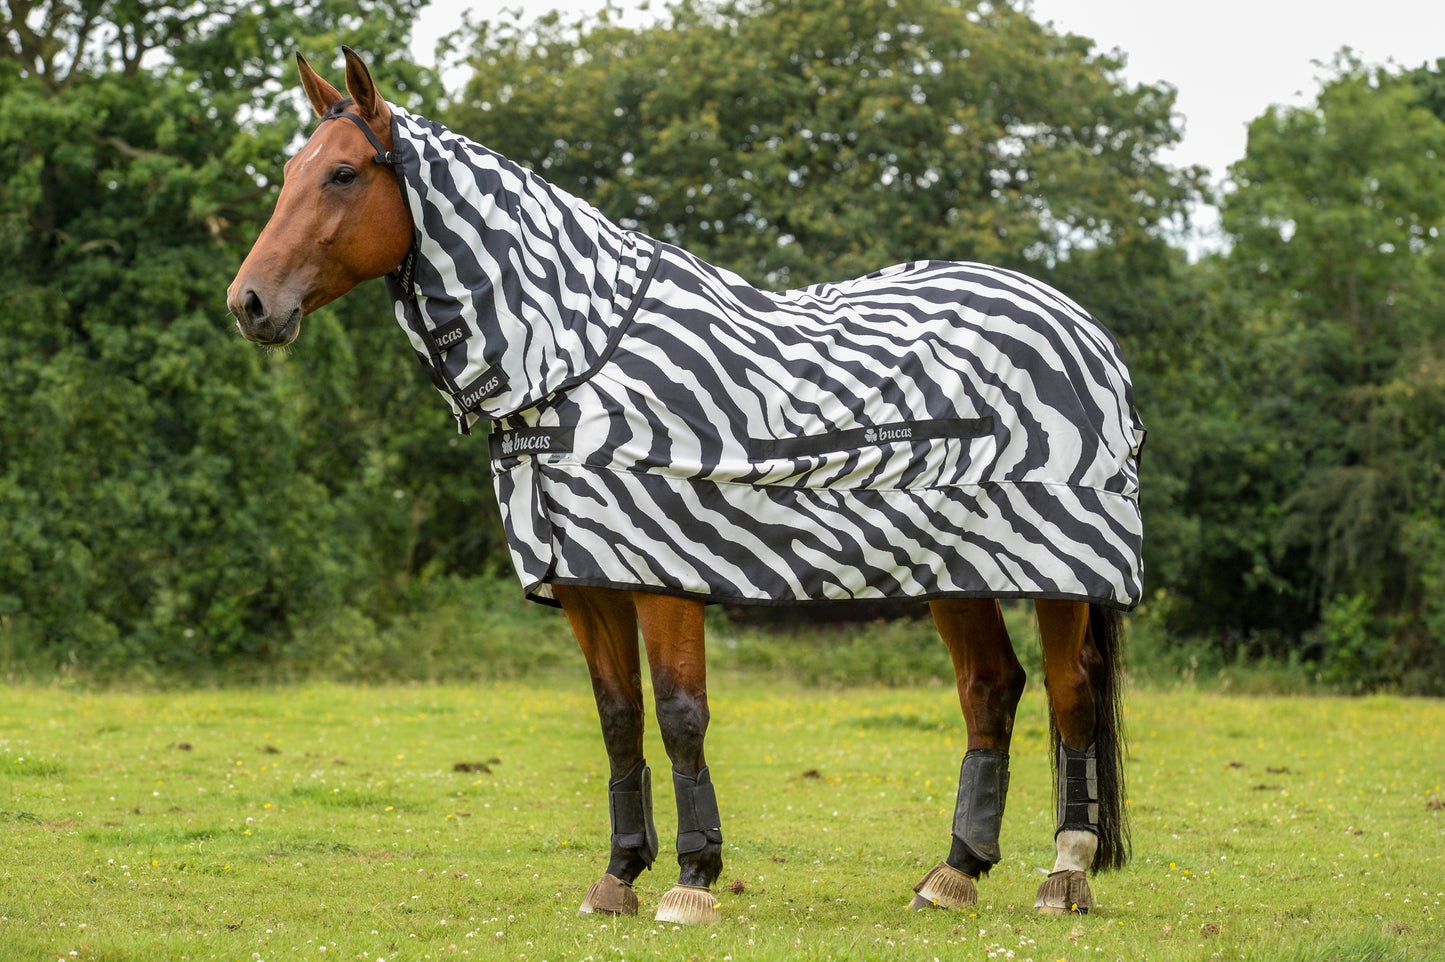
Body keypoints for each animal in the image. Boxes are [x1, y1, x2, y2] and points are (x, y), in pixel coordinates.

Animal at [227, 47, 1142, 923]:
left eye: (345, 173)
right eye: (291, 170)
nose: (249, 303)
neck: (579, 356)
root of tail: (1080, 324)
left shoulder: (664, 569)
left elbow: (679, 715)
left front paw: (693, 878)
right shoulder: (587, 579)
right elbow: (619, 718)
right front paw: (617, 875)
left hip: (1060, 568)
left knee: (1067, 691)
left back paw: (1063, 874)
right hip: (955, 566)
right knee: (990, 689)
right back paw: (952, 874)